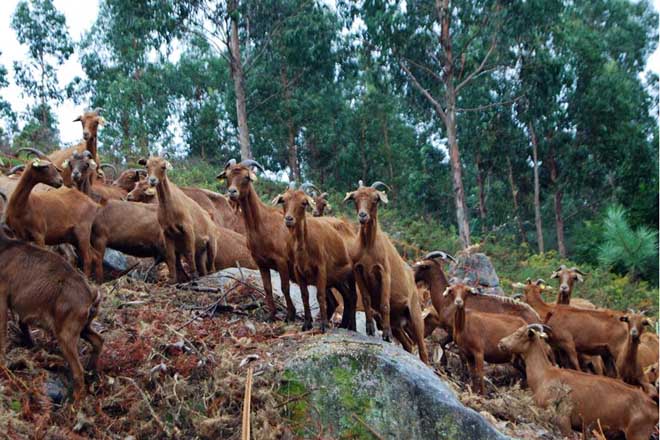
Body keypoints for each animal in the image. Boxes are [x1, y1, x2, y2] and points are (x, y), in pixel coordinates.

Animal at [0, 227, 103, 401]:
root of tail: (91, 298)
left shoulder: (2, 295)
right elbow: (23, 324)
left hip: (66, 333)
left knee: (78, 371)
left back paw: (73, 403)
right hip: (83, 327)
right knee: (98, 341)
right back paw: (92, 374)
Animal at [217, 159, 298, 322]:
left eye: (246, 177)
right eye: (227, 175)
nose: (232, 192)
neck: (262, 224)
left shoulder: (281, 261)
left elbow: (285, 287)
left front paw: (290, 315)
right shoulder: (261, 263)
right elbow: (267, 288)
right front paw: (271, 315)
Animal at [273, 187, 357, 332]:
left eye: (303, 203)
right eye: (283, 200)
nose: (289, 219)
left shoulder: (321, 268)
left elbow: (320, 295)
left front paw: (324, 325)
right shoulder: (298, 271)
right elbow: (304, 295)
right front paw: (307, 324)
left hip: (352, 274)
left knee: (353, 296)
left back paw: (350, 326)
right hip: (337, 278)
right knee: (347, 296)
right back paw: (344, 325)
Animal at [344, 180, 428, 363]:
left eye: (375, 199)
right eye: (355, 198)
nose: (363, 216)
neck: (368, 245)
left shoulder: (384, 273)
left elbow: (384, 303)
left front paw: (386, 335)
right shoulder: (358, 270)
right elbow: (366, 299)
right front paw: (369, 328)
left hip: (415, 315)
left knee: (423, 350)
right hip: (399, 324)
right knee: (408, 345)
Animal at [498, 324, 658, 439]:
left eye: (518, 334)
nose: (501, 343)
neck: (545, 375)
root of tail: (653, 407)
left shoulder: (563, 421)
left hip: (638, 434)